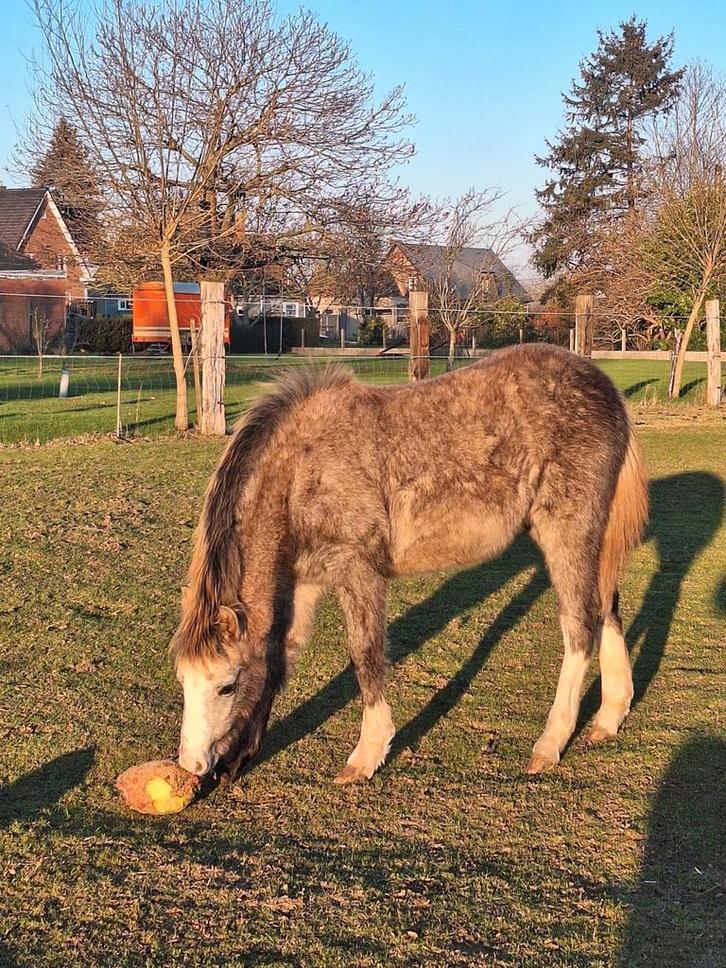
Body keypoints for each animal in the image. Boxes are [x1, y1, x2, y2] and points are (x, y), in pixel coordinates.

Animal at [171, 343, 648, 783]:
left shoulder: (359, 570)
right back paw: (609, 717)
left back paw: (550, 744)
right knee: (606, 606)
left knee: (580, 623)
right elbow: (278, 654)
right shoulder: (303, 582)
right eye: (183, 682)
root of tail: (604, 386)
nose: (193, 766)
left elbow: (364, 653)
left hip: (566, 529)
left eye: (226, 685)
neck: (302, 469)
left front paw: (366, 755)